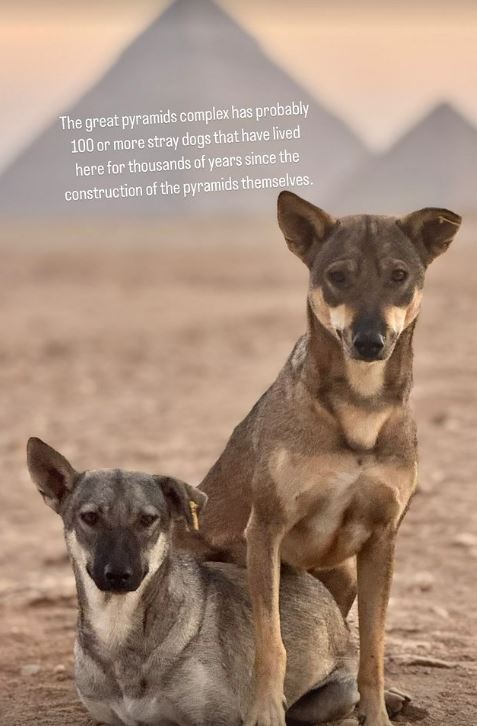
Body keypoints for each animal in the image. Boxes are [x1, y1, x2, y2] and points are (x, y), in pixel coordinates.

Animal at [27, 438, 356, 726]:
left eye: (147, 520)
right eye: (90, 517)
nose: (119, 574)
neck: (118, 626)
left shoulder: (216, 717)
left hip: (337, 694)